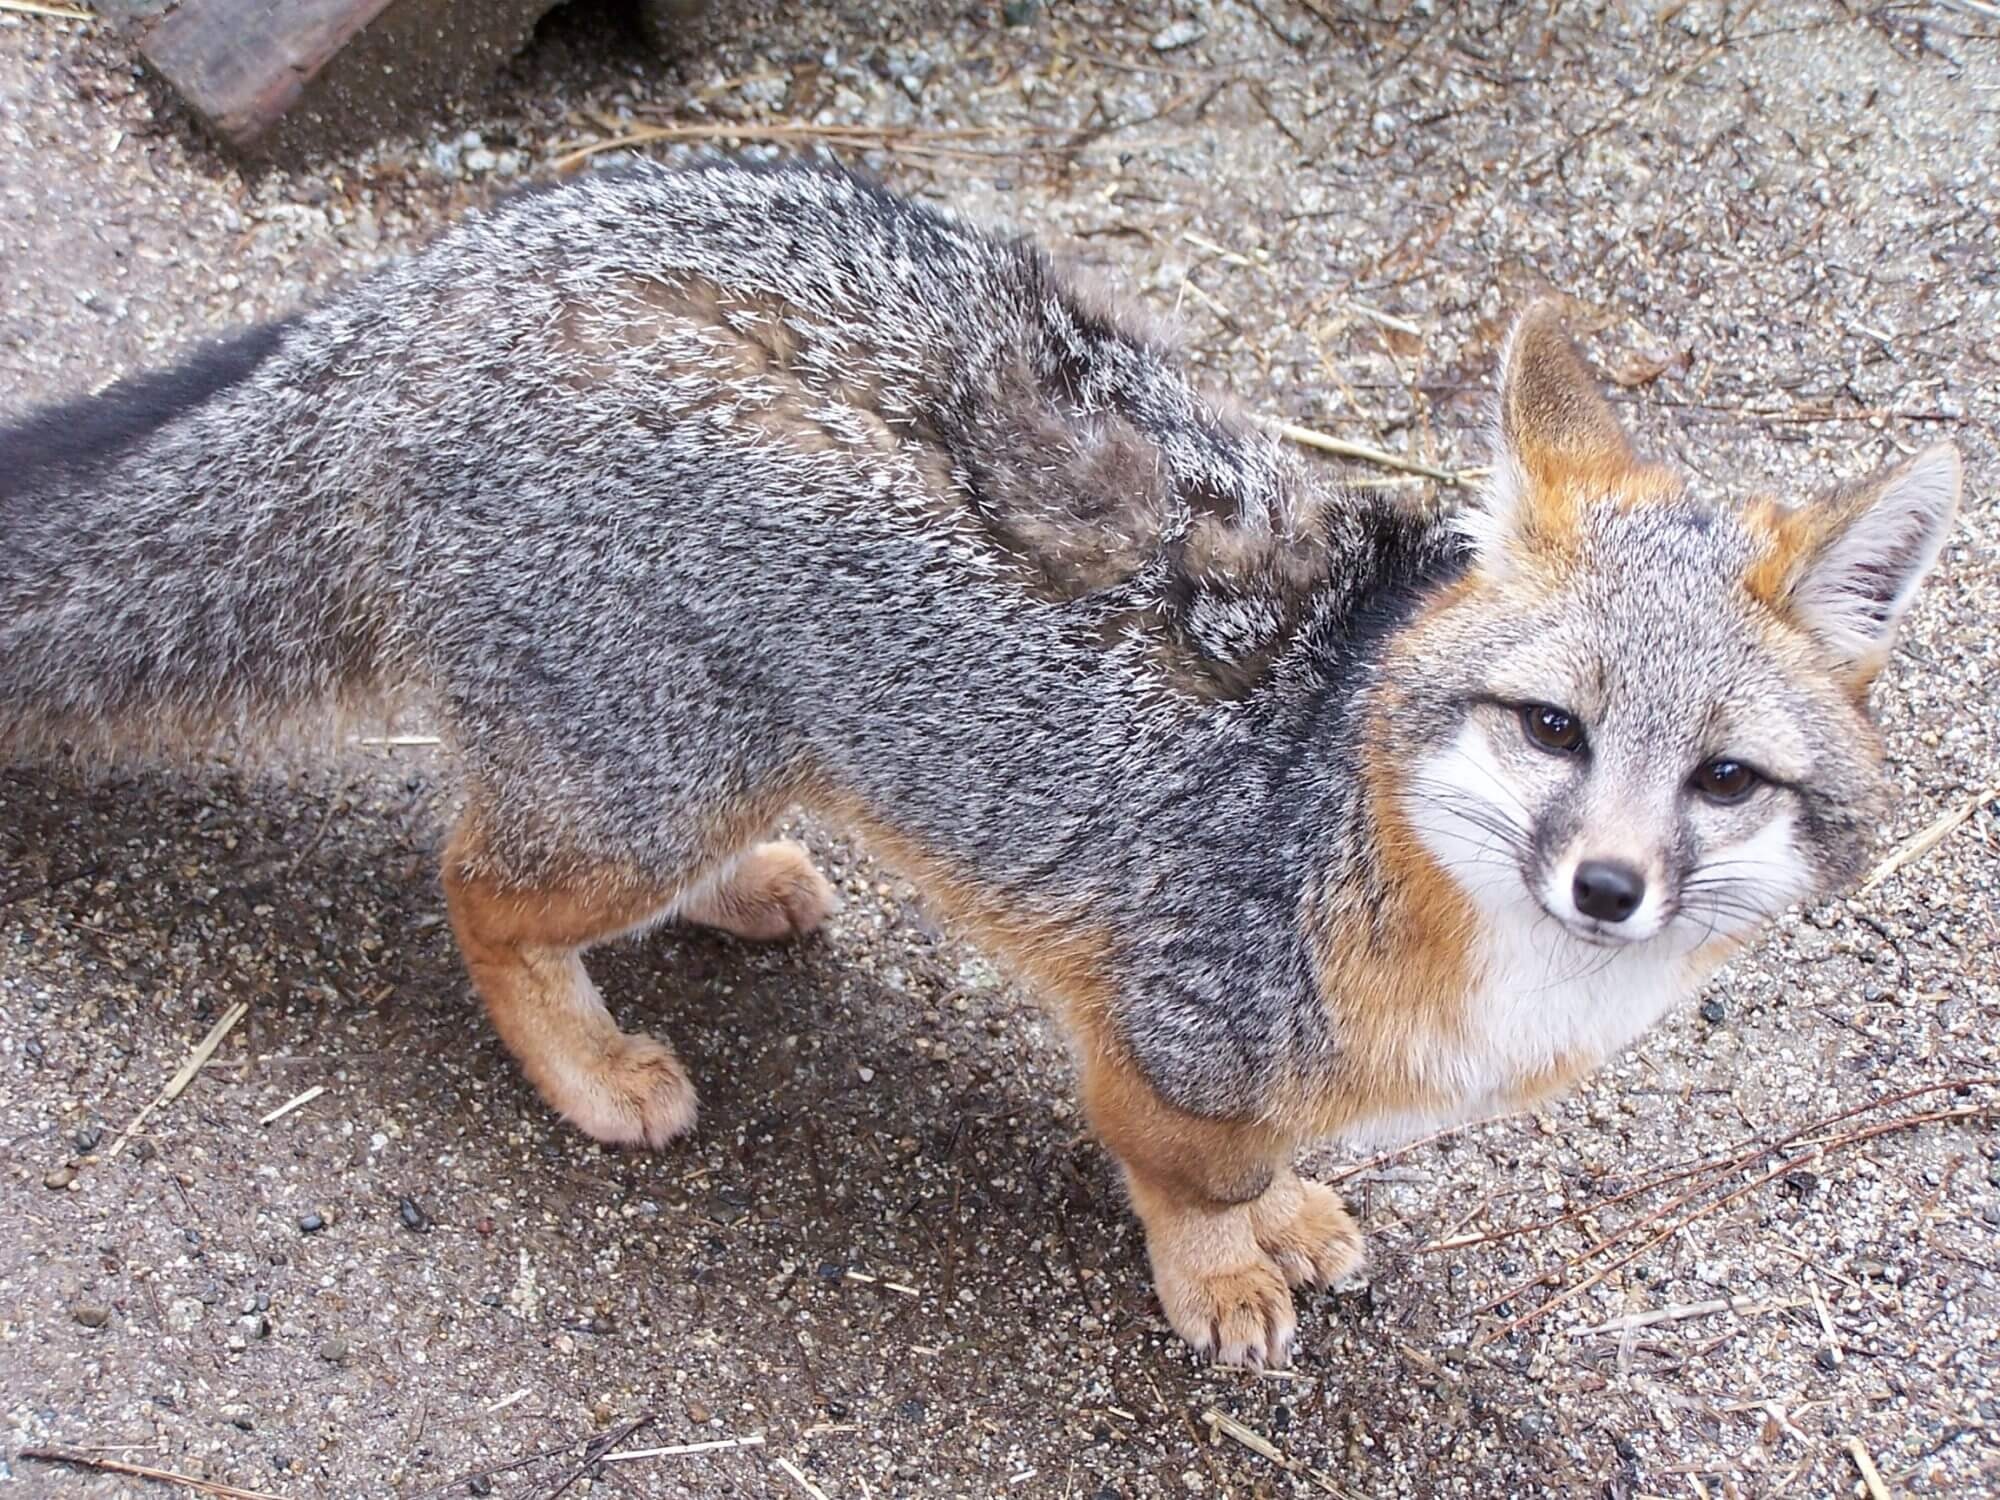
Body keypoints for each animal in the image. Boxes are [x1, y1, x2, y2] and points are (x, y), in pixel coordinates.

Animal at [0, 162, 1960, 1360]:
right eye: (1554, 730)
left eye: (1723, 782)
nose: (1609, 886)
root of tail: (426, 280)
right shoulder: (1165, 1034)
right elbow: (1191, 1169)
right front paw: (1222, 1265)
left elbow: (1279, 1164)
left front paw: (1301, 1210)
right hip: (646, 785)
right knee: (470, 885)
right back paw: (588, 1065)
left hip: (708, 757)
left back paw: (742, 898)